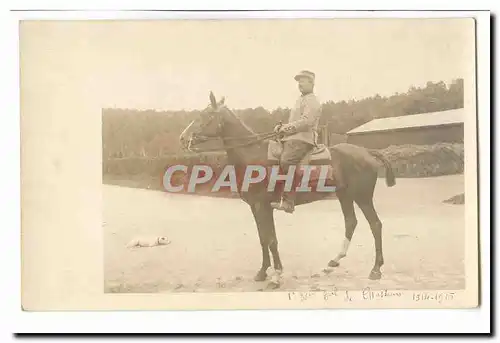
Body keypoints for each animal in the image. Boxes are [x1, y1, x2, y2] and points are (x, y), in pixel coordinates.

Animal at [178, 92, 396, 288]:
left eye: (206, 115)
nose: (183, 138)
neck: (253, 155)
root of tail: (367, 152)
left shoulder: (263, 206)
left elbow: (271, 240)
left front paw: (276, 276)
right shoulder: (256, 207)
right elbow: (263, 239)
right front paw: (262, 272)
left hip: (363, 197)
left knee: (375, 225)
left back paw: (376, 269)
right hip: (345, 196)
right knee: (351, 222)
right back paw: (333, 262)